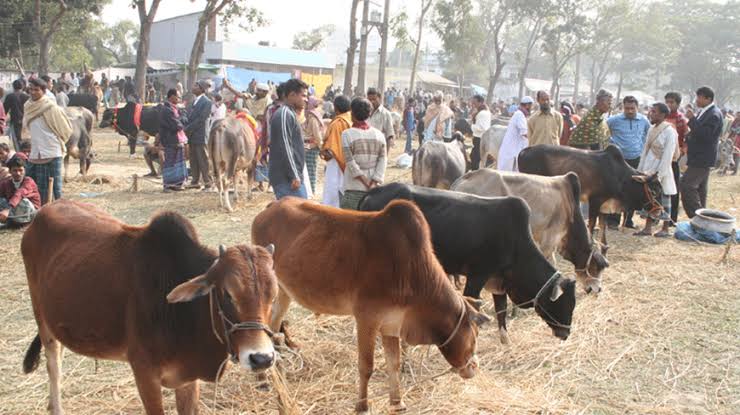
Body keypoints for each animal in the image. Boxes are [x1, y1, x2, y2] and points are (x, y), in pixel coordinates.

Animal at [23, 200, 278, 414]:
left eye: (273, 296)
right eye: (227, 294)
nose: (261, 359)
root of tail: (45, 210)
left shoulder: (188, 379)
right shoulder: (144, 373)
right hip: (40, 316)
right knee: (53, 364)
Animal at [254, 198, 492, 412]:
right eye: (474, 334)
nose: (474, 367)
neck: (412, 273)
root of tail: (270, 207)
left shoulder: (391, 324)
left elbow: (393, 363)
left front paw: (397, 403)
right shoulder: (367, 319)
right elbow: (366, 366)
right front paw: (362, 406)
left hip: (284, 292)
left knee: (273, 326)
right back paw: (264, 378)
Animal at [358, 184, 580, 346]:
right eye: (564, 302)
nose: (565, 334)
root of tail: (373, 192)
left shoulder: (498, 282)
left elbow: (501, 311)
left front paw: (506, 341)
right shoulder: (477, 276)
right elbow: (473, 308)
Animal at [516, 145, 660, 252]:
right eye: (654, 190)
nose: (659, 211)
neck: (620, 175)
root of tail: (524, 151)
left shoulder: (604, 205)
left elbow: (602, 225)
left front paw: (604, 244)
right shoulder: (595, 200)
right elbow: (591, 223)